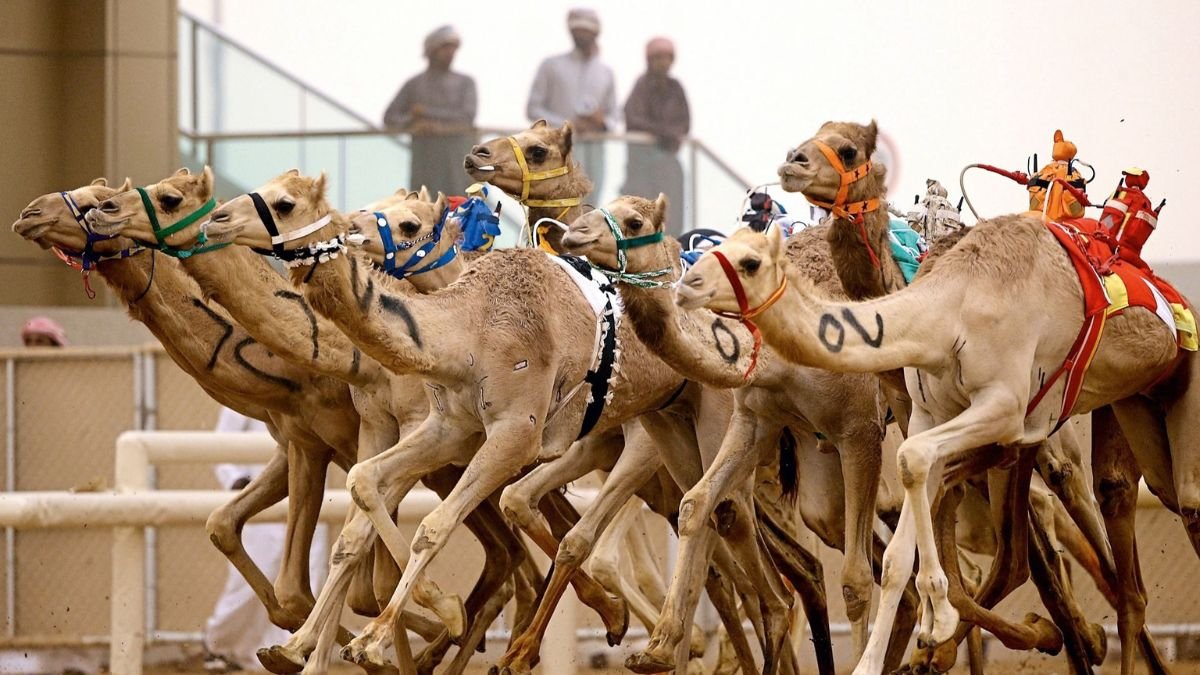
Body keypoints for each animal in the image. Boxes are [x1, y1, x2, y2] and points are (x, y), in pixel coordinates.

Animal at [674, 199, 1199, 675]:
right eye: (715, 252)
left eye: (750, 262)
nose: (686, 285)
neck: (951, 310)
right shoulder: (930, 413)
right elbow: (899, 536)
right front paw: (883, 657)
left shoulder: (1003, 406)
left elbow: (911, 459)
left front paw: (938, 622)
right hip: (1129, 405)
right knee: (1127, 526)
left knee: (1163, 510)